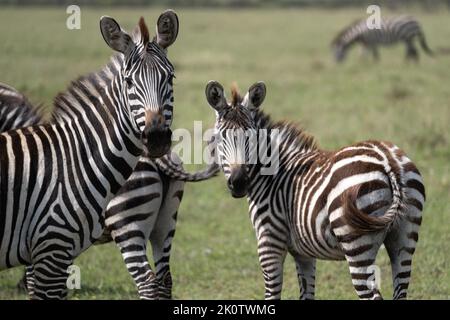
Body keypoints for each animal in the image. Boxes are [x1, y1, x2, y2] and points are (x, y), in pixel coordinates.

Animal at [0, 11, 183, 298]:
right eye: (129, 81)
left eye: (171, 78)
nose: (156, 139)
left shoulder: (50, 245)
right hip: (164, 225)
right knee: (164, 280)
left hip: (129, 223)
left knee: (148, 282)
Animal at [206, 80, 428, 300]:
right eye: (219, 138)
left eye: (251, 138)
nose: (238, 183)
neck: (273, 175)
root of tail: (388, 160)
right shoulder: (304, 252)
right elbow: (307, 293)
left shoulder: (269, 241)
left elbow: (272, 293)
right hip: (404, 237)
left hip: (356, 243)